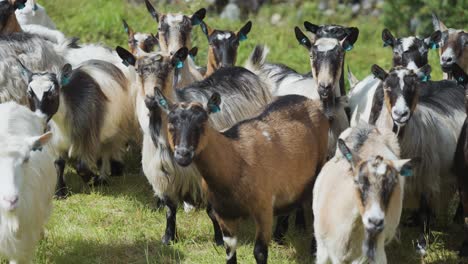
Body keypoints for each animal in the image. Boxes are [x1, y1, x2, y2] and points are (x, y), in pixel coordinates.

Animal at [115, 46, 272, 245]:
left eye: (169, 68)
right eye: (137, 70)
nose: (150, 99)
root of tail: (249, 70)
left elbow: (211, 211)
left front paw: (219, 240)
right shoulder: (163, 175)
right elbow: (170, 209)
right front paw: (168, 238)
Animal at [149, 88, 330, 264]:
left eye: (202, 122)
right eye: (171, 123)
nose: (183, 154)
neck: (236, 159)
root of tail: (308, 100)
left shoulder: (263, 209)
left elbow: (260, 252)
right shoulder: (224, 213)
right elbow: (229, 251)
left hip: (319, 165)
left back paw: (313, 248)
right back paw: (280, 236)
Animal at [370, 63, 464, 254]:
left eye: (413, 88)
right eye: (387, 87)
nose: (401, 114)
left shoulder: (426, 175)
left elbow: (424, 208)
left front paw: (422, 243)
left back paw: (457, 218)